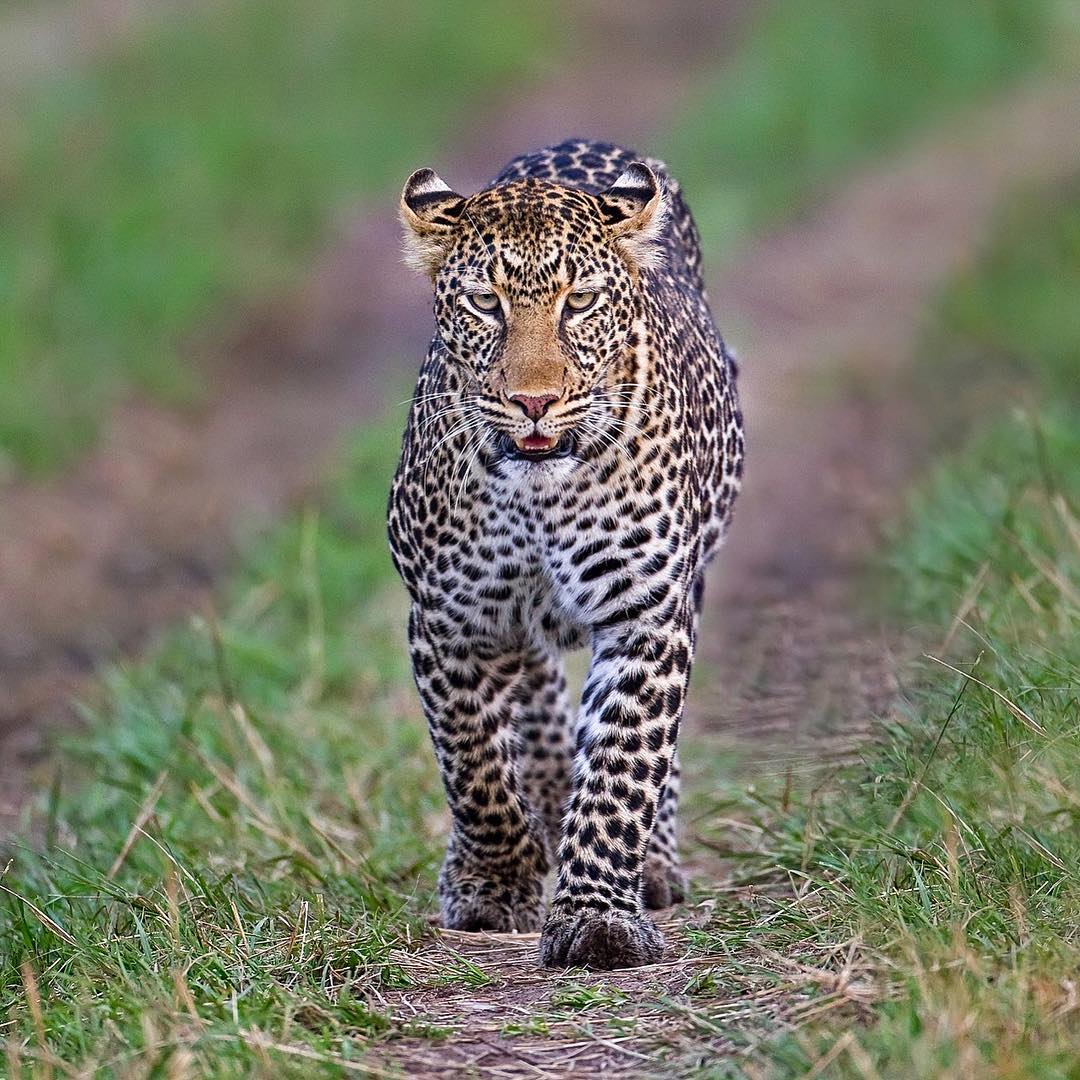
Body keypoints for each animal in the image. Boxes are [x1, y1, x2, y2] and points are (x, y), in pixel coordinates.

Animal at [387, 139, 744, 970]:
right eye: (486, 303)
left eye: (578, 302)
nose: (535, 402)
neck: (537, 496)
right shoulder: (449, 620)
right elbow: (474, 768)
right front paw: (492, 883)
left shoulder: (647, 613)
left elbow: (622, 766)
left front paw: (596, 918)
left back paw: (649, 864)